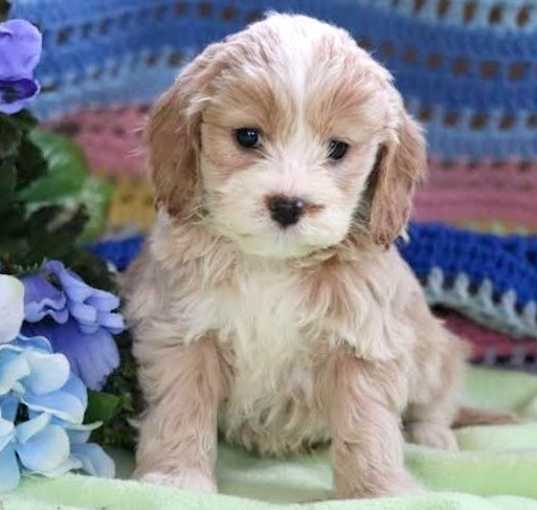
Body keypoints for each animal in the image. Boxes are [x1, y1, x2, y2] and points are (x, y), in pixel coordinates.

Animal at [123, 13, 466, 500]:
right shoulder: (184, 333)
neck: (274, 263)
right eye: (248, 137)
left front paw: (376, 492)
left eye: (338, 148)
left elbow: (368, 427)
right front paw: (177, 479)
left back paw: (434, 435)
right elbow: (180, 410)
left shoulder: (362, 343)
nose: (288, 204)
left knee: (438, 393)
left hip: (430, 348)